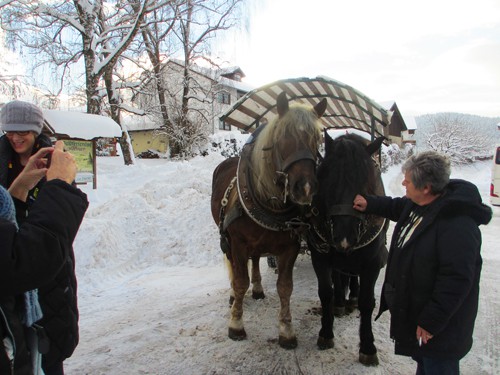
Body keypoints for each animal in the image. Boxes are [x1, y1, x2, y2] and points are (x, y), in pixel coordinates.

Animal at [210, 92, 324, 352]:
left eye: (317, 139)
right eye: (283, 138)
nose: (306, 188)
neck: (269, 204)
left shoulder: (290, 246)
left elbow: (285, 287)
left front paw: (286, 331)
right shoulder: (238, 243)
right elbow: (240, 282)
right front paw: (236, 325)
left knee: (255, 260)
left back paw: (259, 288)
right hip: (227, 239)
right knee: (235, 268)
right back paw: (234, 296)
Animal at [306, 133, 388, 368]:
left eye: (366, 182)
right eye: (328, 179)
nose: (345, 237)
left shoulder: (372, 262)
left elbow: (368, 302)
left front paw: (368, 347)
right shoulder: (320, 257)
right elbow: (325, 293)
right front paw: (326, 332)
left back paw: (351, 297)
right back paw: (341, 302)